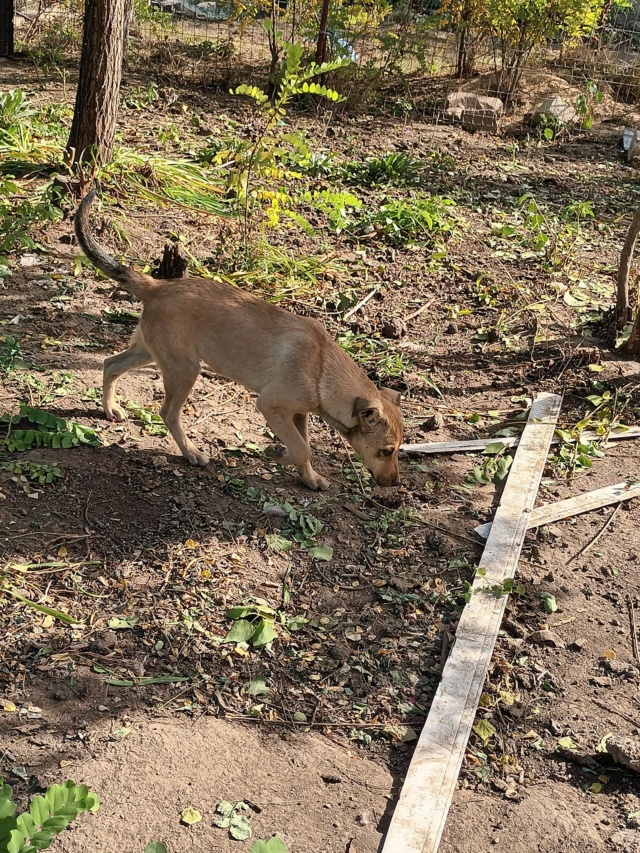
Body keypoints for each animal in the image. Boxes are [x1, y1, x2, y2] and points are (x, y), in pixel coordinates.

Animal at [75, 191, 402, 490]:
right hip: (184, 369)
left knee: (110, 364)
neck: (322, 368)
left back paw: (111, 409)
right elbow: (302, 449)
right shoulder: (271, 406)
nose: (395, 484)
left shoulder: (297, 414)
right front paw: (275, 454)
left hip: (151, 352)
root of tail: (157, 286)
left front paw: (310, 479)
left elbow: (305, 448)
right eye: (386, 451)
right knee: (167, 412)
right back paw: (191, 452)